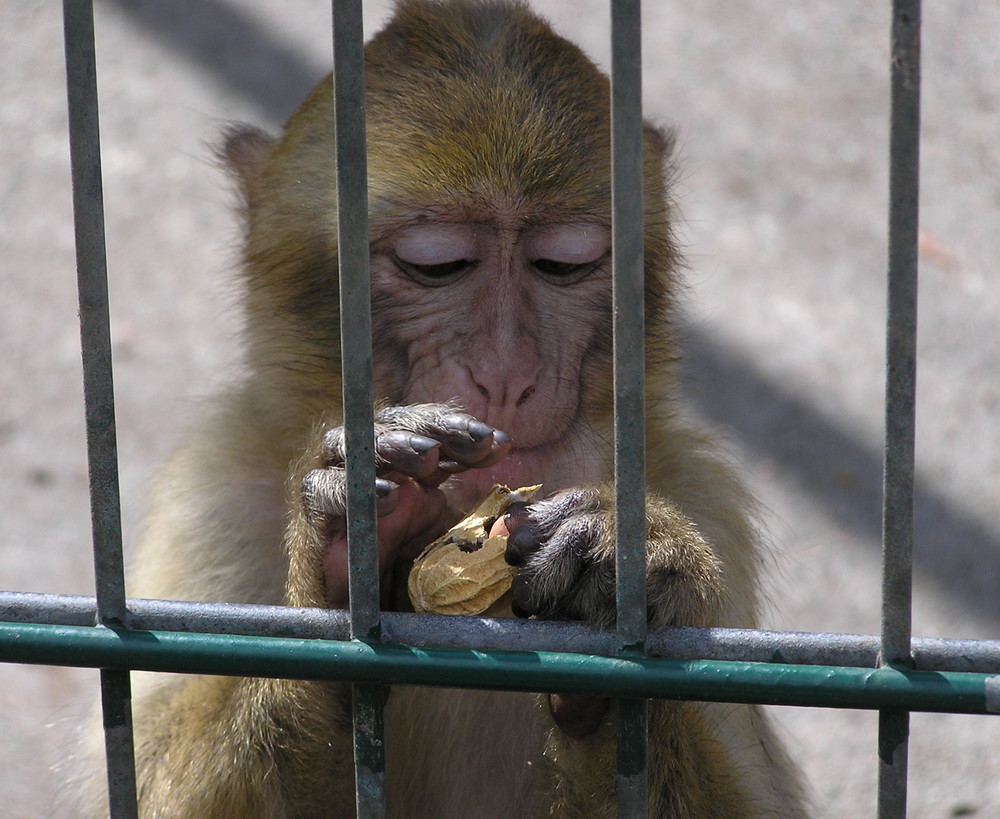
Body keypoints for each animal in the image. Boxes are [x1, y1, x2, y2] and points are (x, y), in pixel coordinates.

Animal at [80, 0, 812, 816]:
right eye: (436, 265)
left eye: (564, 264)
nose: (506, 372)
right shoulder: (216, 489)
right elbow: (142, 774)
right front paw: (340, 549)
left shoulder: (709, 495)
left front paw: (633, 552)